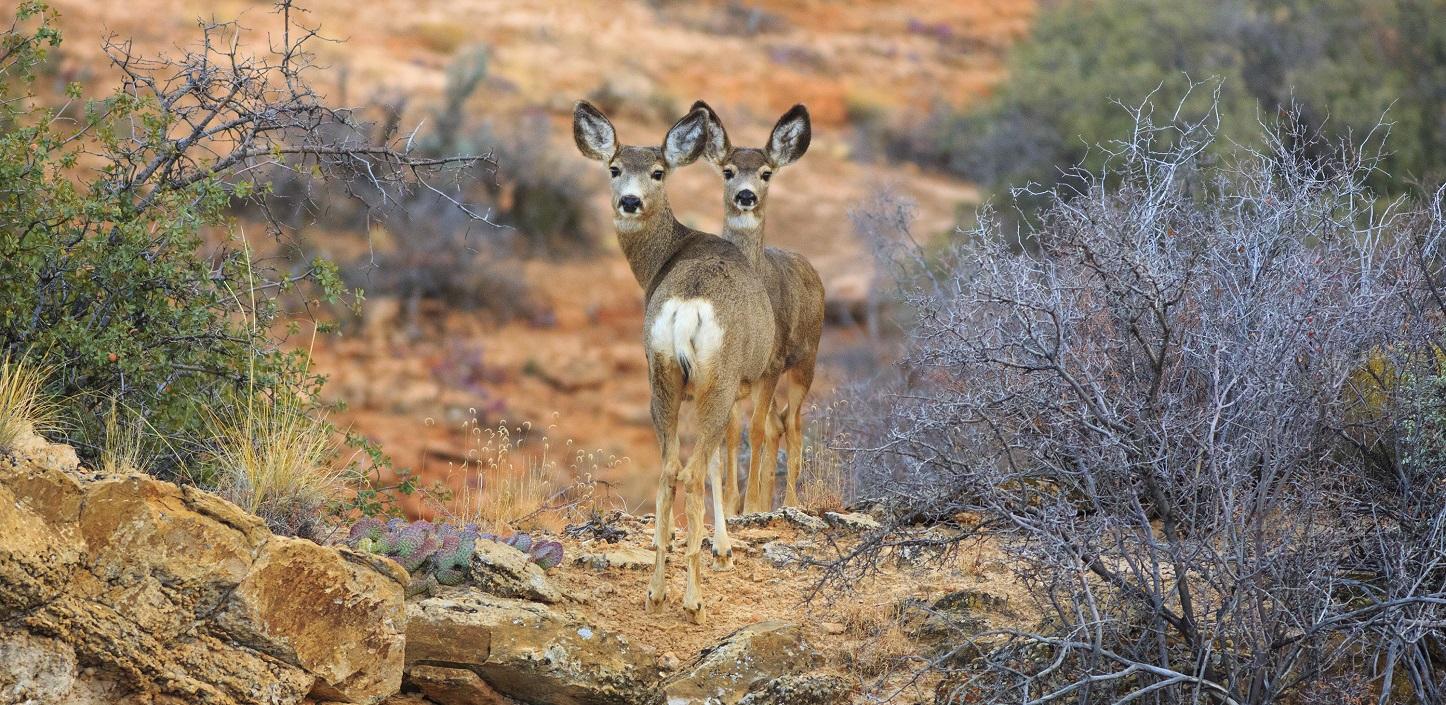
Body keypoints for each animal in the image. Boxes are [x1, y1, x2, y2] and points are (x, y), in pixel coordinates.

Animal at [572, 100, 780, 621]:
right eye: (614, 168)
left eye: (657, 172)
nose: (629, 201)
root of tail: (688, 305)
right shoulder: (737, 385)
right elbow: (720, 463)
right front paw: (723, 549)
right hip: (715, 380)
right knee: (692, 469)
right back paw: (693, 599)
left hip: (659, 374)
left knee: (668, 468)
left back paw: (655, 590)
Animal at [691, 100, 827, 511]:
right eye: (728, 171)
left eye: (766, 173)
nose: (746, 195)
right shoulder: (728, 366)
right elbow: (733, 431)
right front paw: (732, 505)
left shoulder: (772, 362)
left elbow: (753, 429)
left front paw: (749, 506)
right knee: (776, 423)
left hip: (804, 360)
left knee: (792, 425)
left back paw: (790, 502)